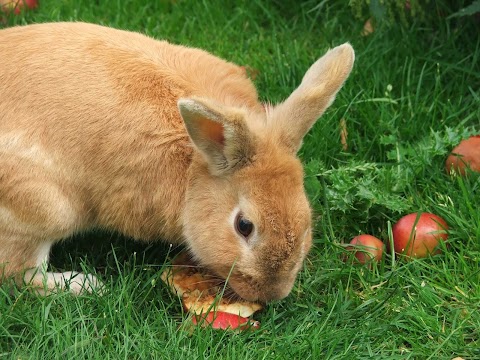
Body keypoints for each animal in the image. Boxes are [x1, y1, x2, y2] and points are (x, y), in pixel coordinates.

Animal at [0, 20, 352, 300]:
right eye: (244, 226)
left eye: (306, 219)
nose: (273, 294)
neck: (194, 164)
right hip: (47, 208)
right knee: (18, 274)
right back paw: (84, 285)